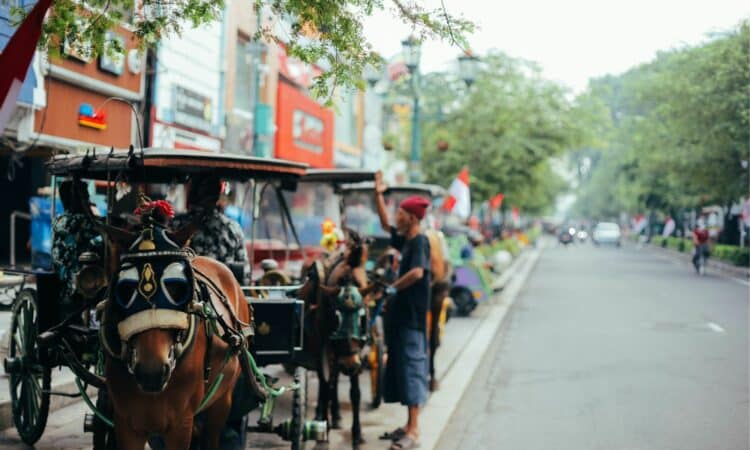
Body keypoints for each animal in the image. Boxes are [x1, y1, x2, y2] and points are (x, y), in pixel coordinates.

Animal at [97, 212, 262, 450]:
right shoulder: (126, 423)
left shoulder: (180, 423)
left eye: (177, 287)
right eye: (125, 289)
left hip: (222, 399)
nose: (152, 371)